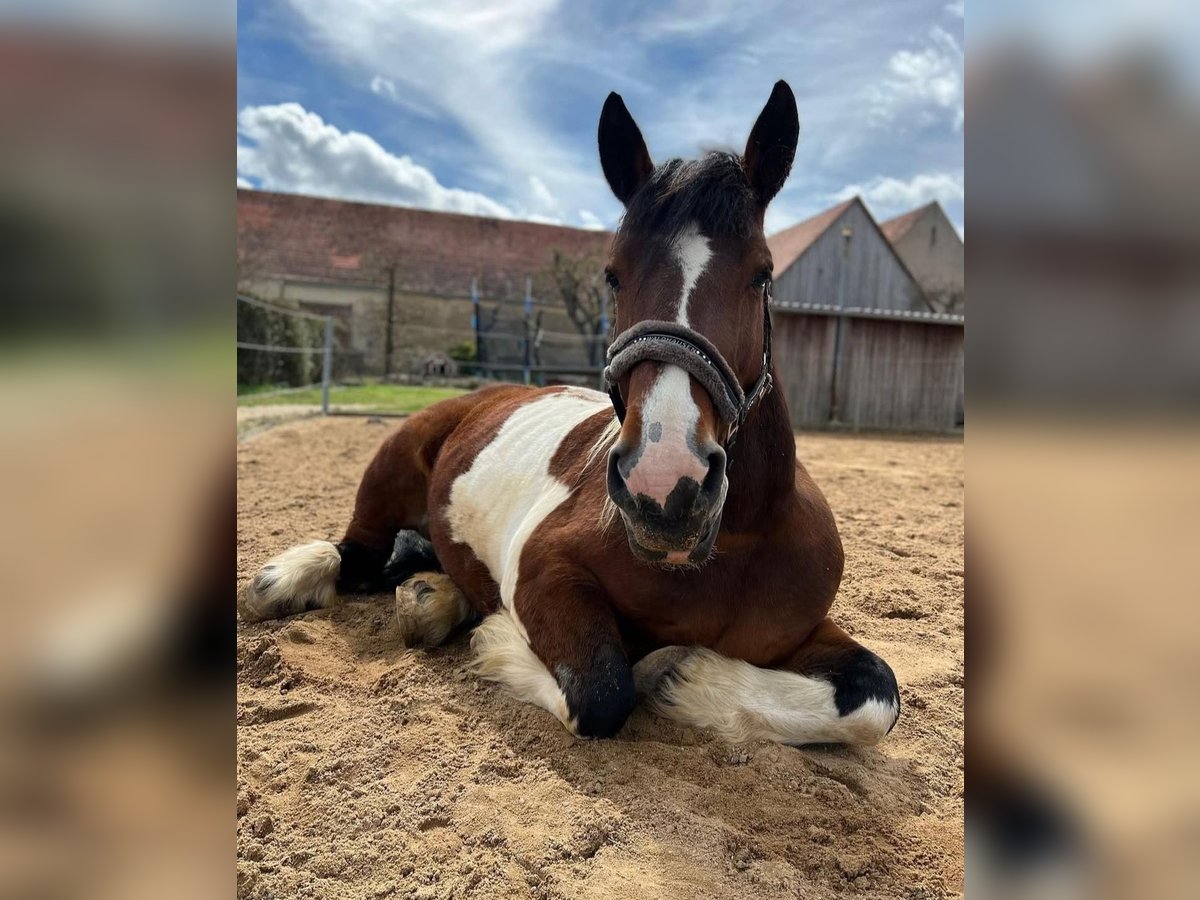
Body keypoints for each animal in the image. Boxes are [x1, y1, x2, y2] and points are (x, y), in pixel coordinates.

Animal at [238, 82, 902, 748]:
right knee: (357, 555)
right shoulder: (546, 572)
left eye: (762, 275)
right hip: (389, 468)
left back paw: (432, 597)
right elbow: (602, 690)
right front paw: (499, 638)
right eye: (612, 276)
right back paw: (287, 581)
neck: (735, 545)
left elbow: (876, 696)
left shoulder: (803, 634)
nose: (665, 487)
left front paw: (686, 678)